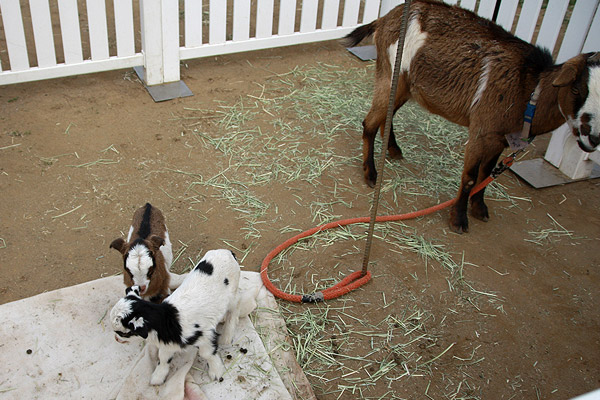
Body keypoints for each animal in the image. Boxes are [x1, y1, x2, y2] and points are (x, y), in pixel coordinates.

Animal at [109, 250, 240, 384]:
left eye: (123, 333)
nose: (116, 339)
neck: (168, 320)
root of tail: (227, 252)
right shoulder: (167, 344)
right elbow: (163, 358)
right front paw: (158, 376)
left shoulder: (205, 335)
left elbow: (207, 354)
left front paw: (216, 371)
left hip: (233, 293)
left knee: (235, 309)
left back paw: (227, 336)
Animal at [346, 0, 600, 233]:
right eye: (576, 89)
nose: (593, 137)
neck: (528, 88)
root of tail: (385, 18)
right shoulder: (482, 129)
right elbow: (470, 176)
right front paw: (458, 220)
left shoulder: (499, 136)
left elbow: (486, 173)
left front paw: (479, 208)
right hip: (392, 75)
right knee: (370, 122)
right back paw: (370, 173)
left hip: (406, 86)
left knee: (386, 117)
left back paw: (394, 149)